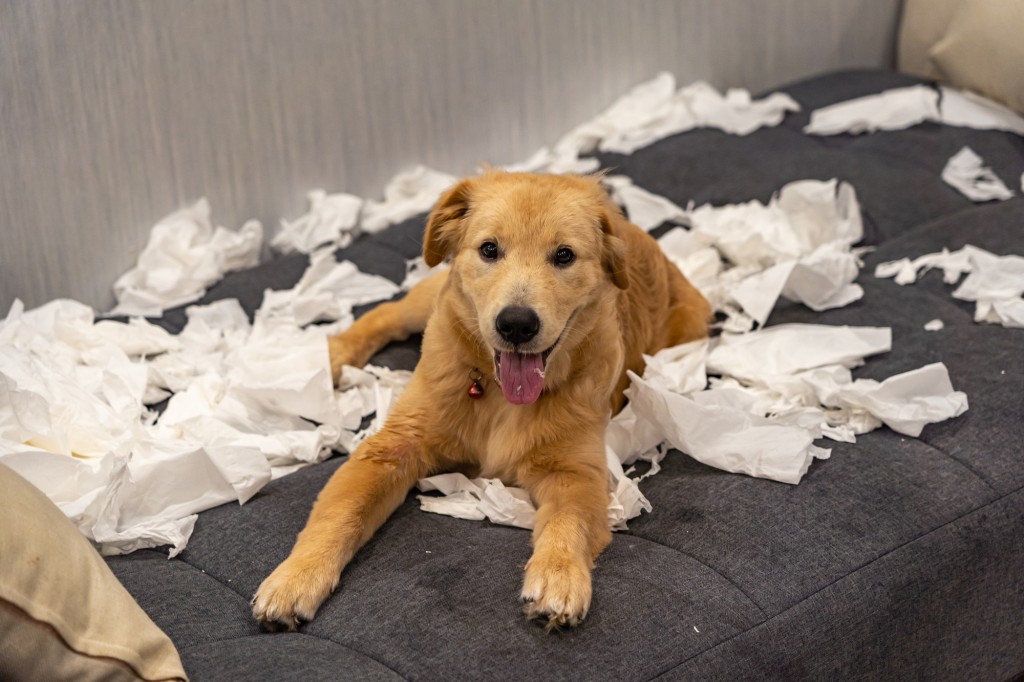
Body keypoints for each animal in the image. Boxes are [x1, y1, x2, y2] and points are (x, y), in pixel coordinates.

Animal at [251, 169, 708, 626]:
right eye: (489, 249)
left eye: (564, 256)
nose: (517, 325)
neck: (499, 396)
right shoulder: (393, 446)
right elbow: (341, 512)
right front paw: (297, 577)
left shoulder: (575, 471)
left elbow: (569, 521)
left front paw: (559, 576)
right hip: (429, 295)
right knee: (386, 314)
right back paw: (331, 356)